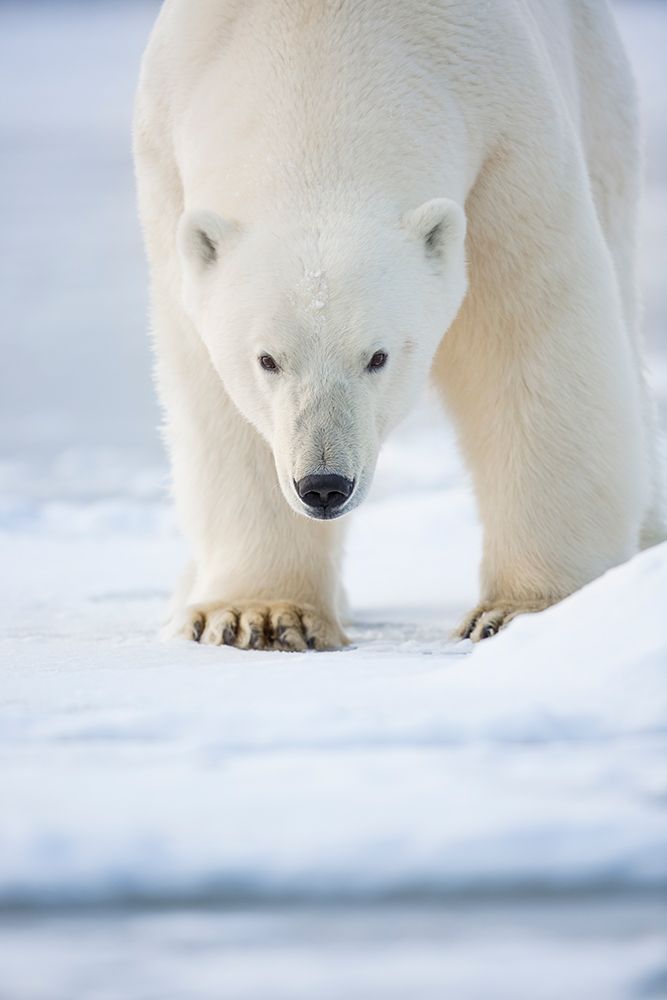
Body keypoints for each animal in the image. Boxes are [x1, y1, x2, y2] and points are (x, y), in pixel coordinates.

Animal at [133, 0, 664, 649]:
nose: (324, 485)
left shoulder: (511, 145)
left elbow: (532, 339)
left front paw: (523, 611)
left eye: (378, 356)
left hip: (604, 102)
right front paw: (256, 615)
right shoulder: (165, 156)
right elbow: (214, 400)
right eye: (267, 359)